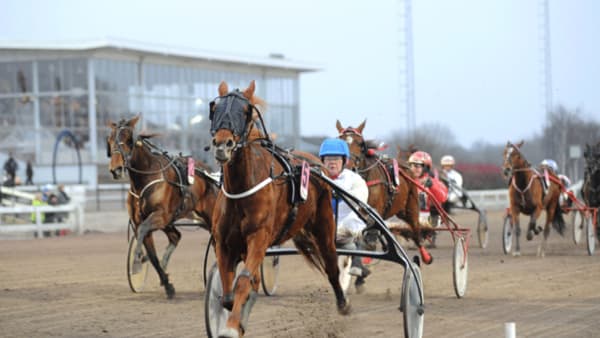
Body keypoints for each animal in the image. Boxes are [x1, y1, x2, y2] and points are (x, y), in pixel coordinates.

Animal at [106, 116, 219, 298]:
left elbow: (144, 232)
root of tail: (211, 175)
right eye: (110, 140)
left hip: (208, 217)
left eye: (128, 140)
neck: (145, 179)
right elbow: (152, 255)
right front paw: (167, 284)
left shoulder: (160, 215)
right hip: (174, 219)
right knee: (176, 236)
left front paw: (137, 261)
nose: (115, 169)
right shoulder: (142, 222)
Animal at [209, 80, 350, 336]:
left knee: (331, 264)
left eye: (244, 111)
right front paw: (235, 318)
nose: (222, 145)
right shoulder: (223, 243)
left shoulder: (259, 237)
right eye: (215, 108)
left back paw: (343, 302)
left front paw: (232, 326)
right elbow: (227, 292)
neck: (242, 189)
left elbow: (243, 281)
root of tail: (315, 163)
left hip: (324, 225)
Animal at [338, 120, 432, 266]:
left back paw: (425, 256)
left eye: (360, 144)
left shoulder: (376, 209)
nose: (349, 167)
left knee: (416, 229)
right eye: (340, 142)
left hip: (410, 208)